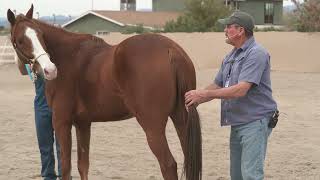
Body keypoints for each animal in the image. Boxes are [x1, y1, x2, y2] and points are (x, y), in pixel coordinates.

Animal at [6, 4, 202, 179]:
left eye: (40, 36)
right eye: (20, 40)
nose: (50, 70)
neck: (67, 57)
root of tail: (171, 50)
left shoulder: (61, 122)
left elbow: (66, 168)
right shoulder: (83, 123)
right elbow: (83, 166)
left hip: (152, 126)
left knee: (168, 165)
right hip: (180, 118)